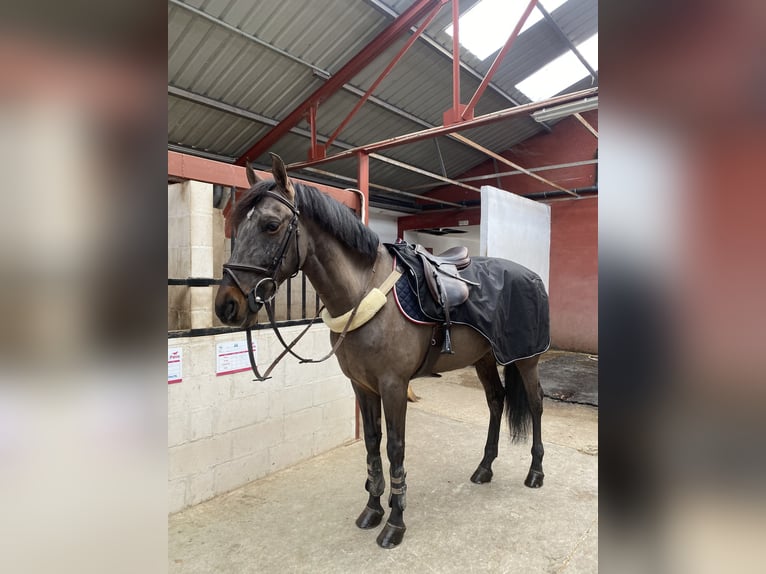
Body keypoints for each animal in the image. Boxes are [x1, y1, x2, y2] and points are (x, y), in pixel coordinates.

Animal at [216, 155, 548, 552]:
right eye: (237, 227)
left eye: (271, 225)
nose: (226, 306)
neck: (363, 292)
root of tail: (532, 277)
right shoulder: (363, 386)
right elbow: (373, 444)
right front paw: (373, 508)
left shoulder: (393, 386)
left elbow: (395, 449)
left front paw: (395, 522)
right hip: (484, 357)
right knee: (497, 401)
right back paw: (484, 468)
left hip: (526, 359)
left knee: (535, 403)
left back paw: (535, 472)